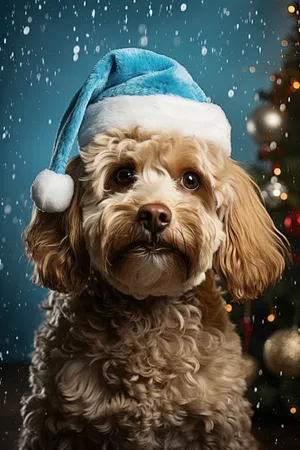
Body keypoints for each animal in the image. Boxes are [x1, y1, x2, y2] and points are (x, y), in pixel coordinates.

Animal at [19, 47, 290, 448]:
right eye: (122, 175)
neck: (148, 311)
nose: (154, 215)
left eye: (191, 180)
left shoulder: (221, 423)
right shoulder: (53, 421)